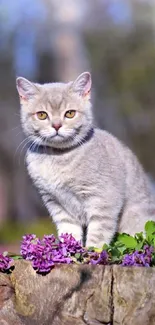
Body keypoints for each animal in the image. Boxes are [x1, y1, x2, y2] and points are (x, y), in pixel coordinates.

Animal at [16, 72, 155, 247]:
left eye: (70, 113)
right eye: (42, 115)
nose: (56, 125)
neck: (58, 157)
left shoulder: (104, 200)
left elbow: (98, 235)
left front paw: (90, 251)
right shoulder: (56, 203)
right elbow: (69, 231)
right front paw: (70, 250)